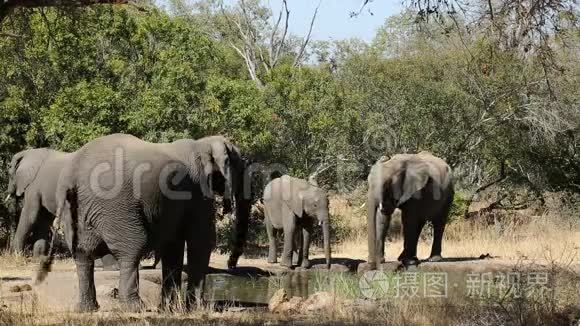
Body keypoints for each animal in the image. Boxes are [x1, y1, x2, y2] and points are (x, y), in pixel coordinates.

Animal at [37, 134, 250, 312]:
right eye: (239, 167)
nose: (231, 266)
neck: (203, 143)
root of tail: (73, 174)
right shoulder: (198, 192)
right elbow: (201, 241)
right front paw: (194, 309)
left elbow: (173, 245)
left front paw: (170, 309)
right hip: (115, 206)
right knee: (132, 248)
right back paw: (135, 307)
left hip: (74, 210)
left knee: (83, 255)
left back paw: (86, 309)